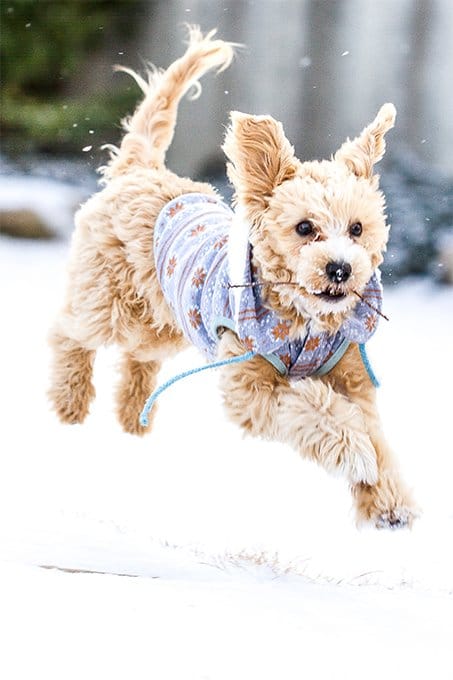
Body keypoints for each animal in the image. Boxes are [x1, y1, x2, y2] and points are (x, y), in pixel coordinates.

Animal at [48, 26, 416, 528]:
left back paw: (132, 414)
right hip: (110, 301)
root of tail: (141, 169)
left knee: (139, 356)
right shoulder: (251, 383)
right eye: (305, 228)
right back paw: (70, 401)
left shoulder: (354, 379)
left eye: (358, 228)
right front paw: (356, 455)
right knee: (69, 331)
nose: (340, 268)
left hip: (166, 321)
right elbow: (314, 411)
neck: (305, 320)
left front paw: (389, 501)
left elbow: (376, 437)